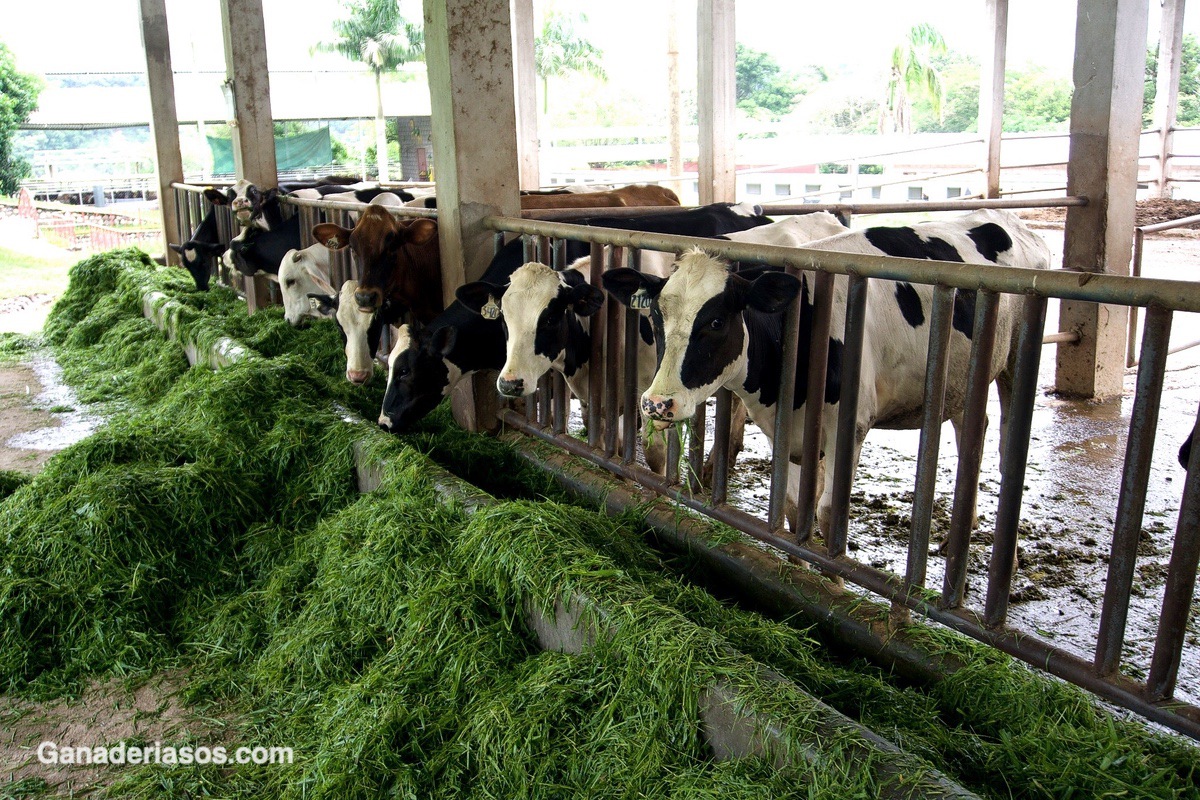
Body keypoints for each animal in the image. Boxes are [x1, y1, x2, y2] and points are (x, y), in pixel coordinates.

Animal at [604, 208, 1046, 537]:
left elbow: (829, 513)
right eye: (655, 317)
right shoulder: (789, 430)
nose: (657, 404)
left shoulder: (850, 428)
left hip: (1015, 362)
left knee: (1005, 441)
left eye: (716, 321)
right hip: (962, 377)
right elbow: (794, 506)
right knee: (972, 430)